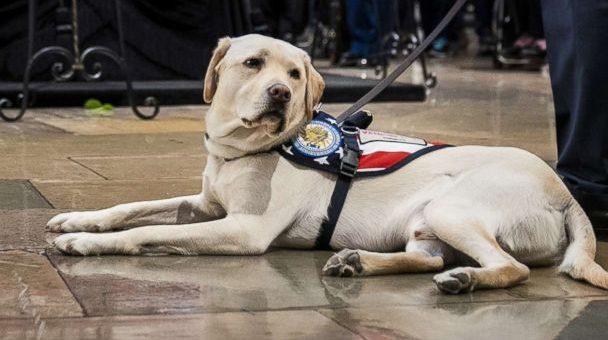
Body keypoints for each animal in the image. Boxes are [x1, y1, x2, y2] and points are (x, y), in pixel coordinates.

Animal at [48, 35, 608, 294]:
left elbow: (147, 232)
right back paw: (356, 262)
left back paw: (464, 280)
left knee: (511, 268)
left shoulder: (245, 228)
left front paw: (84, 243)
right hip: (426, 224)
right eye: (253, 63)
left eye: (295, 74)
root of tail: (566, 195)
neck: (243, 149)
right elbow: (131, 207)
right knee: (427, 259)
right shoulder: (207, 203)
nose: (279, 92)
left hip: (453, 209)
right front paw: (79, 219)